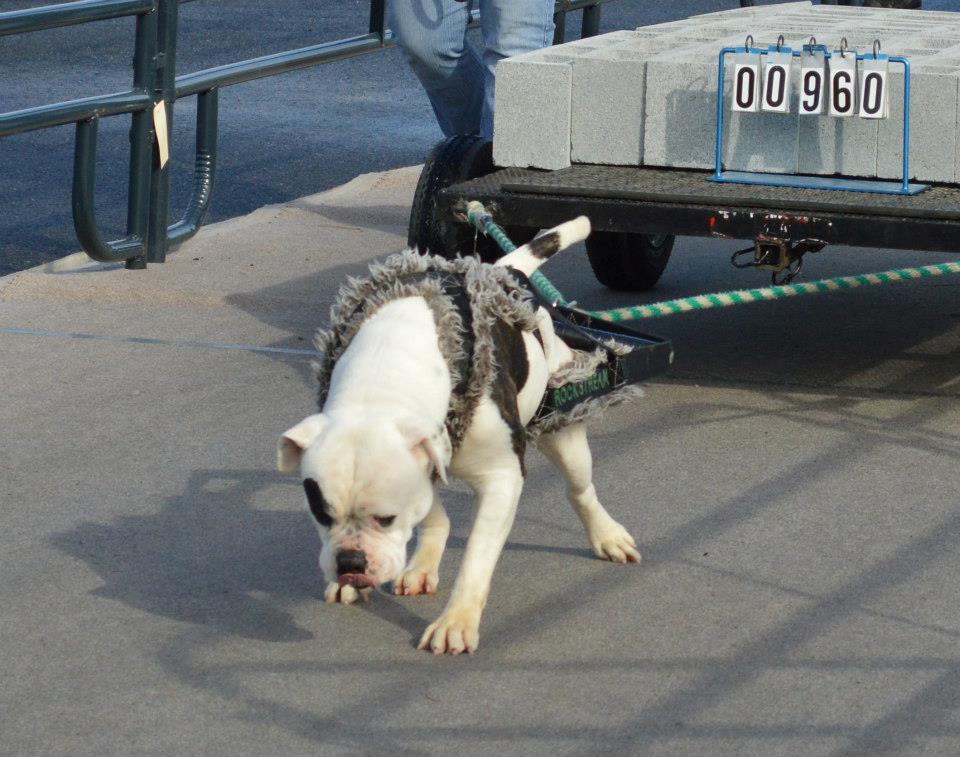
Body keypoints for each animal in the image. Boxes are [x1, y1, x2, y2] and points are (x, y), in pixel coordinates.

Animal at [276, 216, 636, 652]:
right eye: (320, 513)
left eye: (385, 518)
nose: (350, 563)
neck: (381, 385)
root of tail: (503, 270)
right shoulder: (427, 454)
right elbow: (432, 511)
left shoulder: (502, 478)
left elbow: (476, 557)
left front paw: (456, 621)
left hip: (561, 427)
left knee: (579, 489)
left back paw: (606, 534)